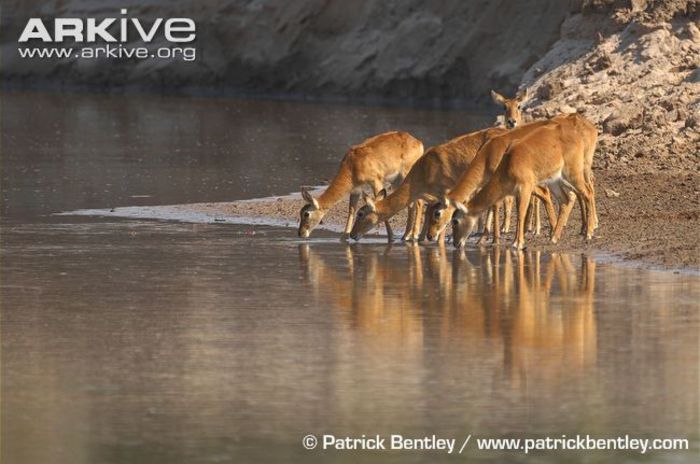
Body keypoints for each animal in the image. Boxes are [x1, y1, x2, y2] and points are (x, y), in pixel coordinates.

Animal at [348, 126, 506, 243]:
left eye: (360, 214)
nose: (352, 235)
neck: (425, 170)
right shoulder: (433, 198)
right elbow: (428, 211)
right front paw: (421, 239)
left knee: (496, 203)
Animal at [424, 118, 560, 243]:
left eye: (437, 213)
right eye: (428, 212)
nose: (430, 236)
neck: (489, 154)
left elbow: (495, 206)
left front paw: (495, 239)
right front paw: (483, 238)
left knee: (543, 193)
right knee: (543, 194)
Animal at [448, 113, 596, 250]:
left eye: (455, 221)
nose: (455, 243)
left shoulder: (525, 188)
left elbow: (520, 213)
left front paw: (516, 243)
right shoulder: (516, 192)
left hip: (574, 174)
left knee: (587, 192)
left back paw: (588, 233)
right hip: (555, 181)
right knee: (566, 199)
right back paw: (554, 238)